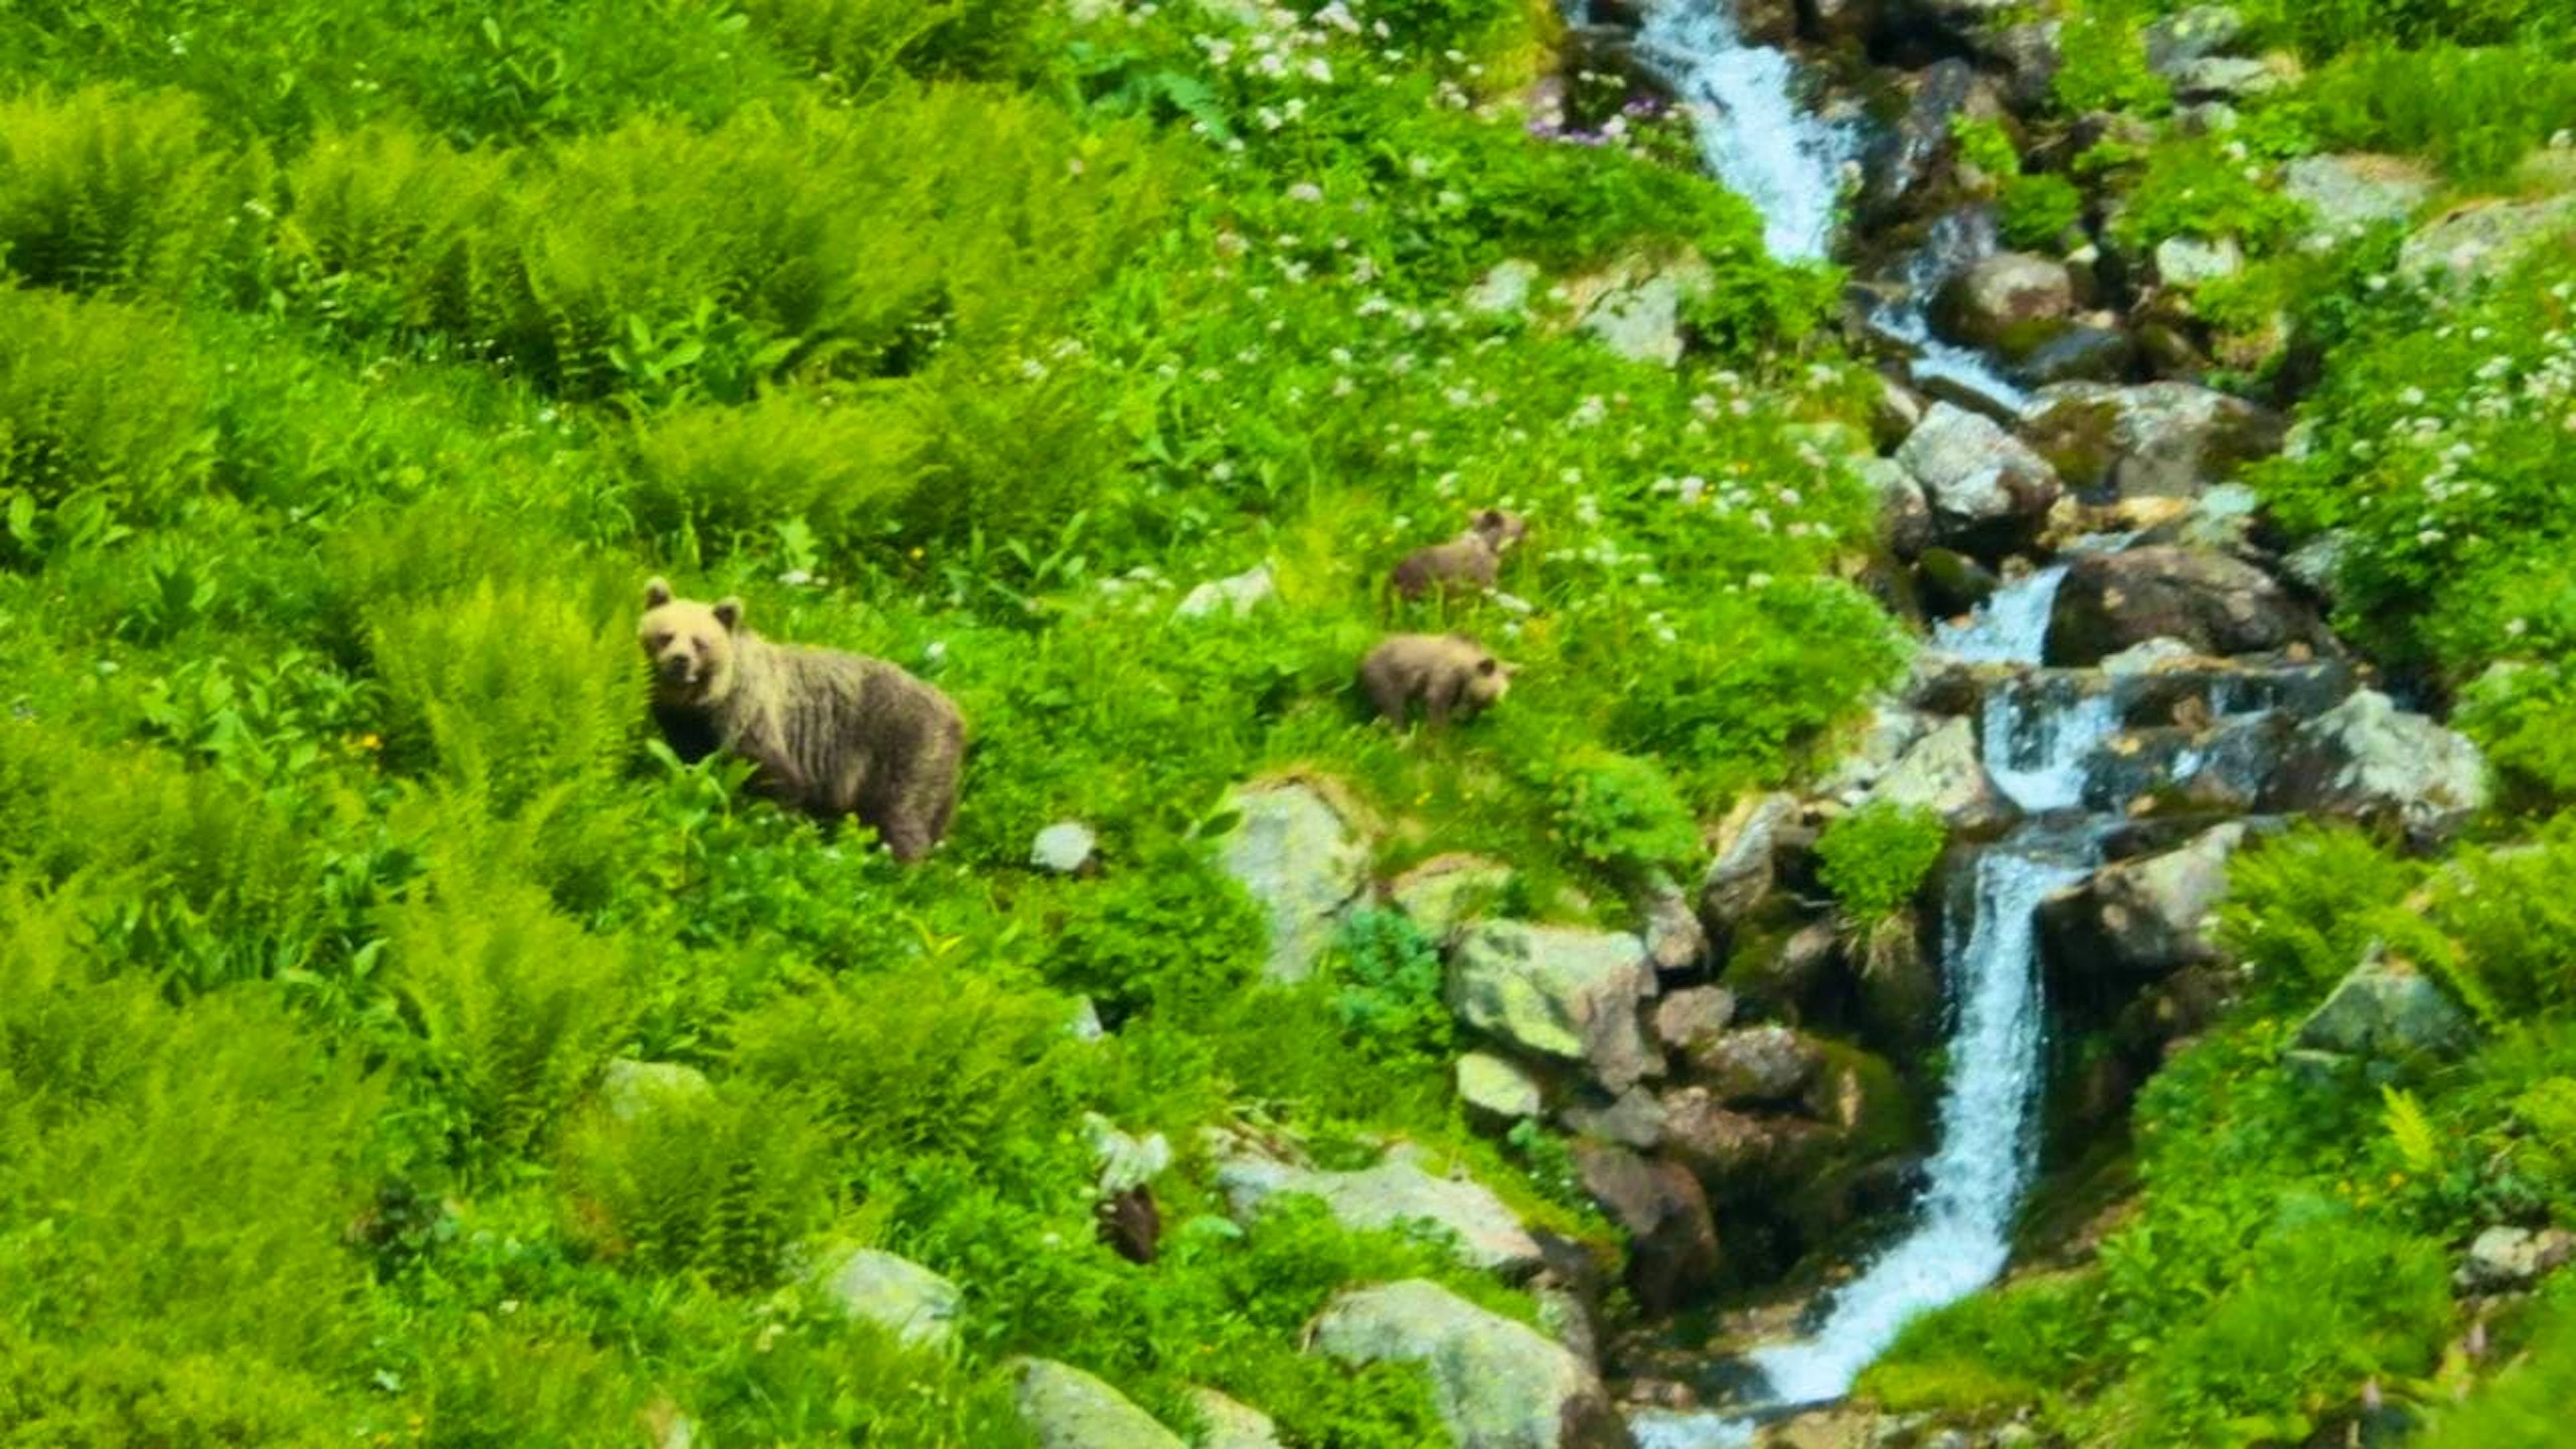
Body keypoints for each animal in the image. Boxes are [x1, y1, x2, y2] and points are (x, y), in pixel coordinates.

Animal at [637, 578, 965, 863]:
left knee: (902, 813)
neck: (703, 702)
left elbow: (775, 778)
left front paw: (780, 829)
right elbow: (690, 764)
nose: (680, 661)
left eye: (699, 642)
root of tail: (957, 715)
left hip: (906, 748)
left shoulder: (751, 718)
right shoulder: (684, 727)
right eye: (665, 635)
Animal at [1359, 633, 1514, 728]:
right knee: (1394, 708)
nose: (1465, 720)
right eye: (1484, 696)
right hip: (1387, 678)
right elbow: (1437, 705)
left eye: (1492, 702)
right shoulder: (1444, 677)